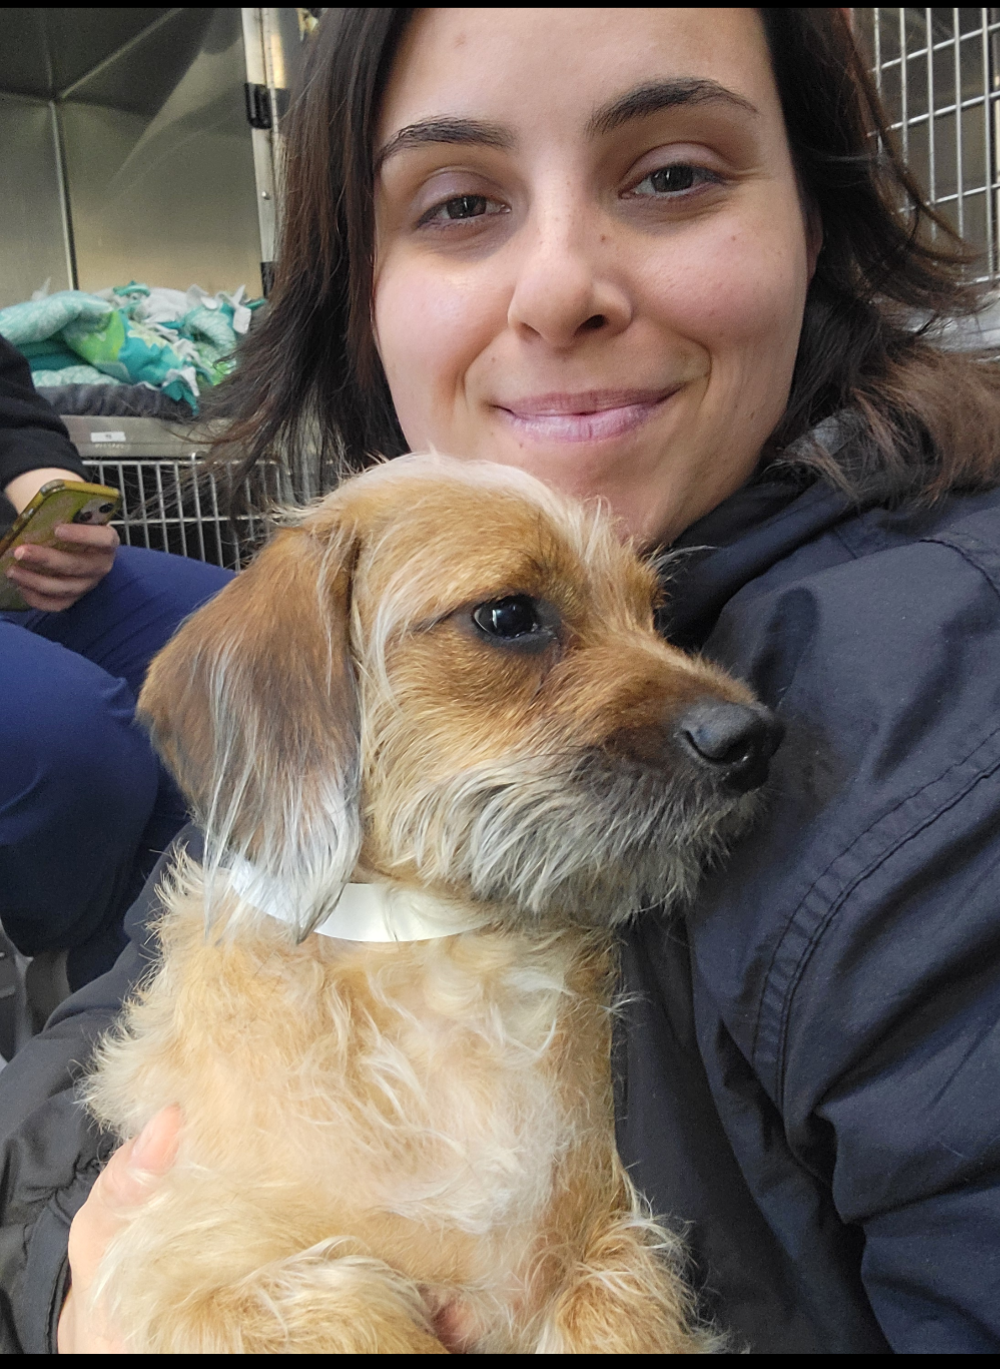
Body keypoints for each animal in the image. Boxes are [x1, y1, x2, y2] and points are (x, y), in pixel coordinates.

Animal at [83, 454, 778, 1352]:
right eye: (507, 615)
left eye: (651, 611)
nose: (755, 738)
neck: (442, 948)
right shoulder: (184, 1269)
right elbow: (359, 1310)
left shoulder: (609, 1239)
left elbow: (616, 1317)